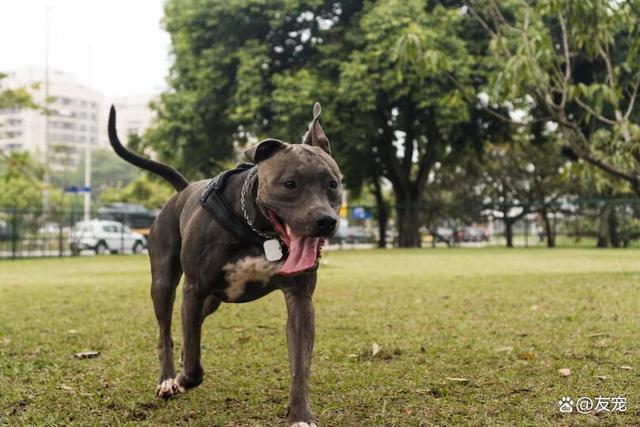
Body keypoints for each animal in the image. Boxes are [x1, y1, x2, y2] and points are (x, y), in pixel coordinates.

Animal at [107, 102, 342, 426]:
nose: (325, 221)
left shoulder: (300, 299)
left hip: (214, 299)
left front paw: (300, 414)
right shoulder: (193, 288)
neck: (256, 230)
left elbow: (300, 364)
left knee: (192, 325)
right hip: (164, 283)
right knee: (166, 330)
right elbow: (194, 364)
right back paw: (168, 378)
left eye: (332, 184)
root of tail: (183, 189)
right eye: (290, 184)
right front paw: (182, 378)